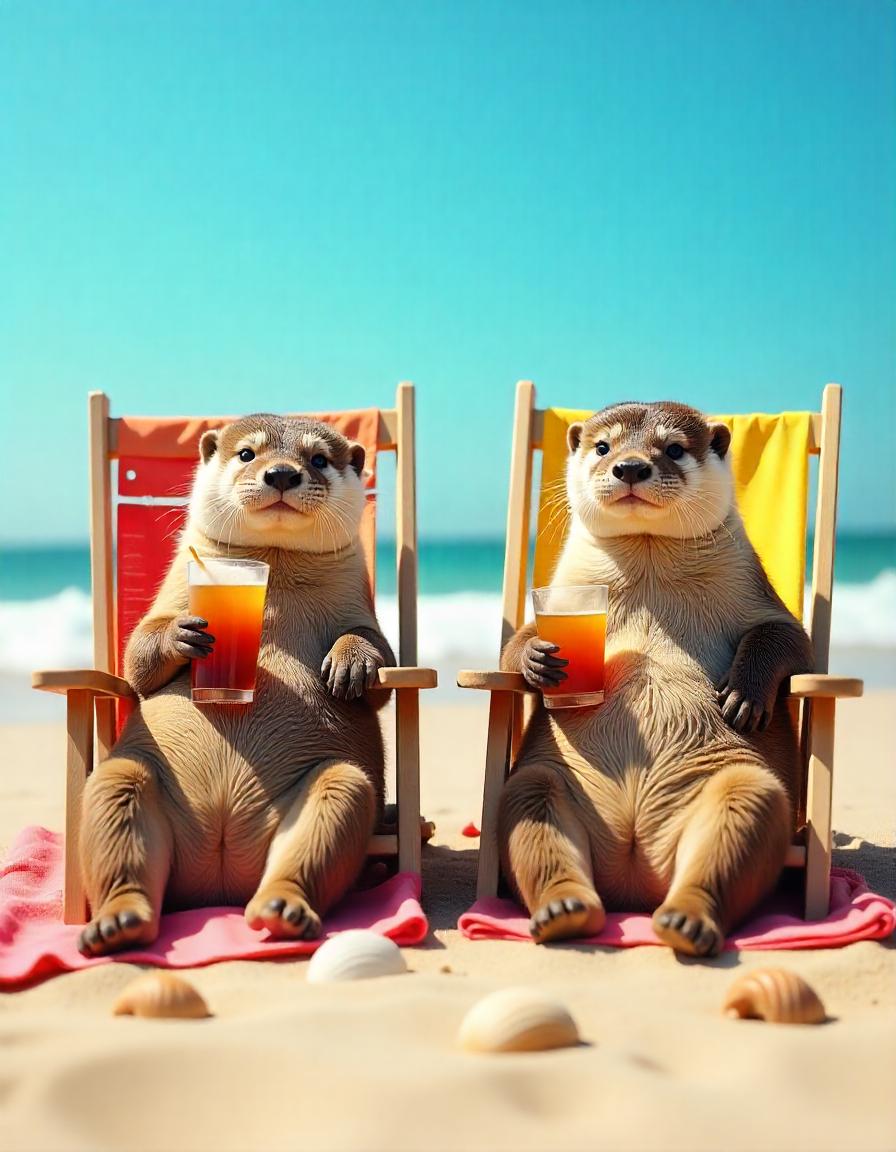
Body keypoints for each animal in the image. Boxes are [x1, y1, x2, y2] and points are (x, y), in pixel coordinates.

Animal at [78, 414, 395, 956]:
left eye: (318, 458)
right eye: (247, 453)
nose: (282, 473)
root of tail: (220, 866)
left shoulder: (363, 609)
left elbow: (383, 663)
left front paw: (351, 662)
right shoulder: (168, 600)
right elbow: (137, 656)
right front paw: (181, 634)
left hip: (340, 789)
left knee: (320, 830)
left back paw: (283, 908)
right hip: (120, 781)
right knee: (118, 805)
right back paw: (118, 920)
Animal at [498, 400, 813, 956]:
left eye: (673, 449)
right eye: (604, 447)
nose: (629, 467)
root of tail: (634, 877)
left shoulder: (763, 601)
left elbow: (785, 639)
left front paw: (743, 694)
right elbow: (519, 636)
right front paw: (535, 657)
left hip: (746, 788)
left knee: (728, 841)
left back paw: (685, 920)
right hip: (537, 784)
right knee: (534, 814)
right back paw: (563, 910)